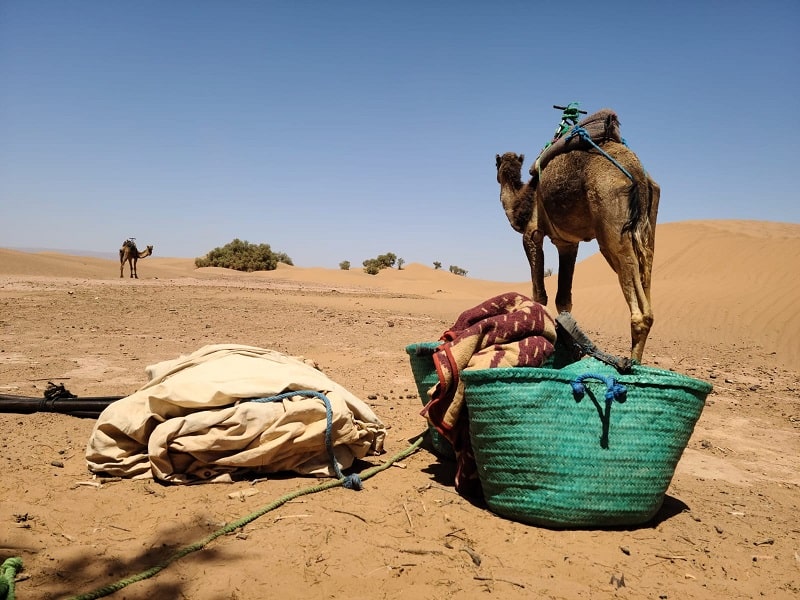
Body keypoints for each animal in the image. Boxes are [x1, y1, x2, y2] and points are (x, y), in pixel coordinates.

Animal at [496, 143, 660, 364]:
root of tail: (638, 174)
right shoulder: (567, 243)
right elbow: (563, 299)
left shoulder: (532, 233)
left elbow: (539, 294)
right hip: (648, 227)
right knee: (647, 271)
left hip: (610, 220)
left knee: (639, 305)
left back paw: (632, 364)